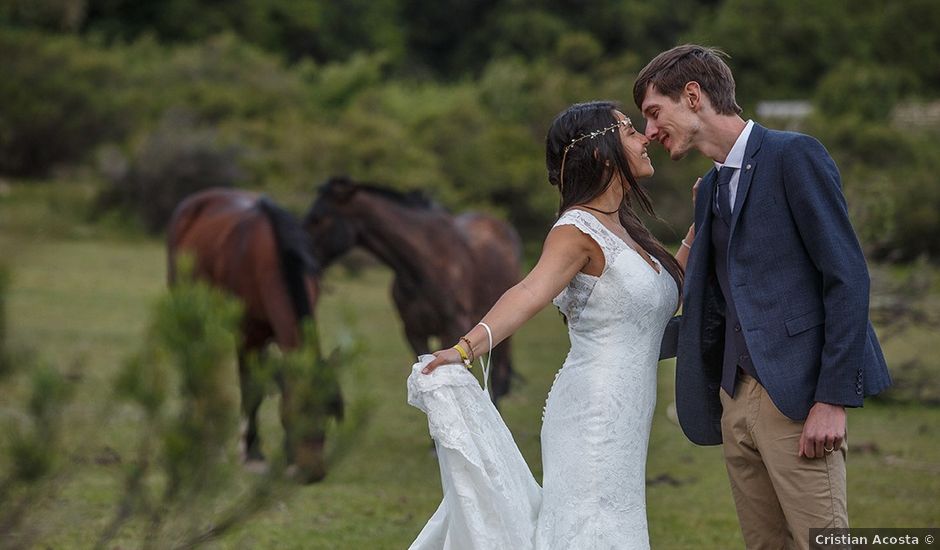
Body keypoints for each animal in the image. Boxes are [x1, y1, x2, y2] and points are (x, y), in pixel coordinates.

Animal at [168, 189, 342, 484]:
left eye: (328, 413)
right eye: (294, 413)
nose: (314, 473)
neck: (271, 257)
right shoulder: (247, 335)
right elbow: (252, 390)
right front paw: (250, 452)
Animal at [302, 176, 520, 402]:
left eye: (318, 218)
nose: (299, 256)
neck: (423, 265)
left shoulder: (453, 327)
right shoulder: (413, 332)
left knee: (499, 378)